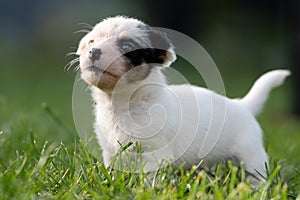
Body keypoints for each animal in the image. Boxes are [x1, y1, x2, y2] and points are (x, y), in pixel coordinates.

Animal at [75, 16, 290, 186]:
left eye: (127, 46)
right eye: (92, 41)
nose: (94, 51)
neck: (124, 103)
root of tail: (241, 105)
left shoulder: (153, 154)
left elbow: (149, 179)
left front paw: (145, 190)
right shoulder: (111, 152)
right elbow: (114, 171)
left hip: (251, 156)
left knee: (256, 174)